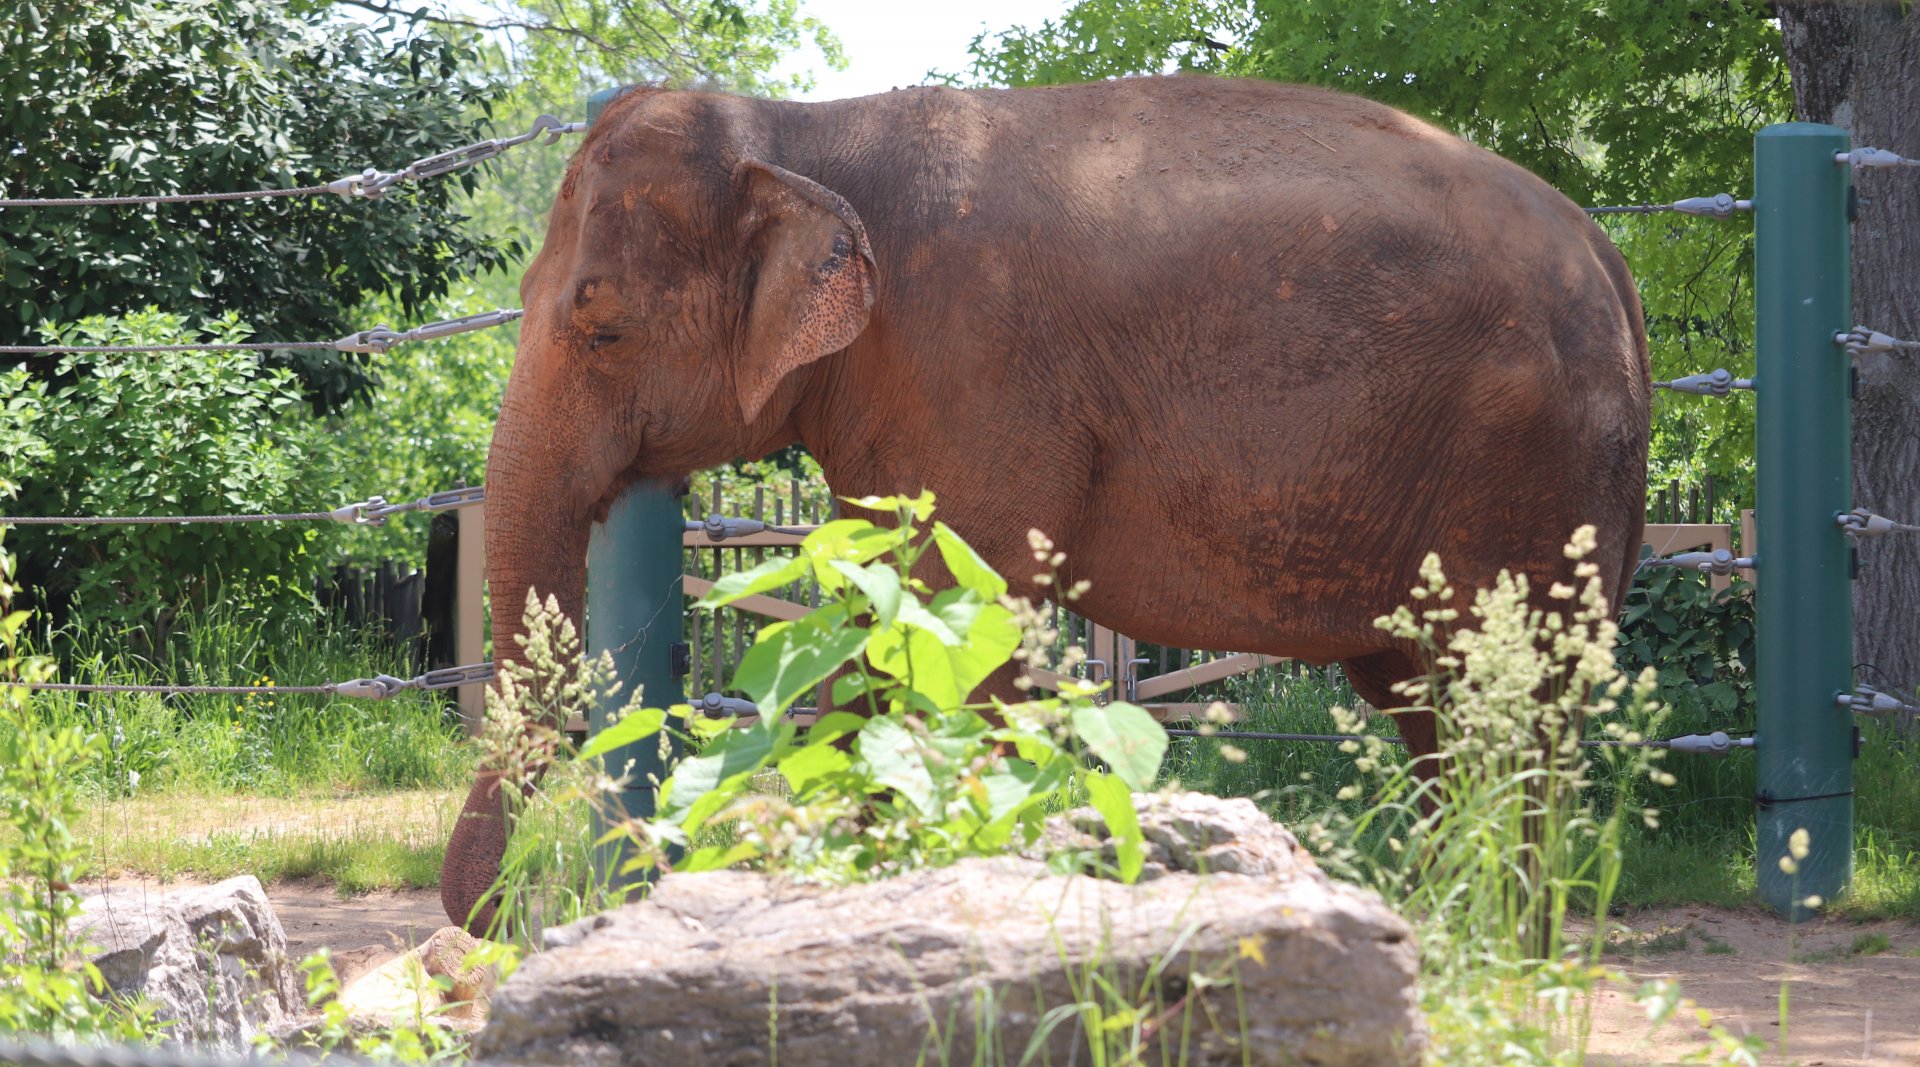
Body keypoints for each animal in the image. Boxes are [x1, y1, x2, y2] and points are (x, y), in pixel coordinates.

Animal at [442, 74, 1650, 931]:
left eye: (600, 325)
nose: (485, 919)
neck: (799, 134)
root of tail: (1609, 256)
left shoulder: (975, 373)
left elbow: (947, 634)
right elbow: (892, 621)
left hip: (1532, 467)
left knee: (1505, 698)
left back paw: (1494, 939)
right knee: (1431, 705)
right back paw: (1456, 924)